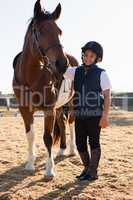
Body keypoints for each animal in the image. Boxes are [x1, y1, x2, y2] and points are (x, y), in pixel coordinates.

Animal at [12, 0, 78, 178]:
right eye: (40, 31)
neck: (31, 77)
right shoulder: (25, 110)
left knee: (70, 122)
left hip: (72, 102)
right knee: (62, 122)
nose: (62, 64)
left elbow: (47, 137)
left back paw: (71, 150)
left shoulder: (49, 109)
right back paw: (61, 150)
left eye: (59, 32)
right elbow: (30, 136)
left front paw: (49, 170)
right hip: (59, 107)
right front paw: (30, 163)